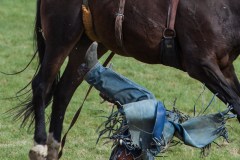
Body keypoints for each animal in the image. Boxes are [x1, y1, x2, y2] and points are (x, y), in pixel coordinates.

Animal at [16, 0, 240, 159]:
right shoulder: (201, 64)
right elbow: (237, 104)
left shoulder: (225, 67)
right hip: (62, 36)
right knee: (42, 85)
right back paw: (40, 146)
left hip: (86, 42)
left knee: (63, 92)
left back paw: (53, 147)